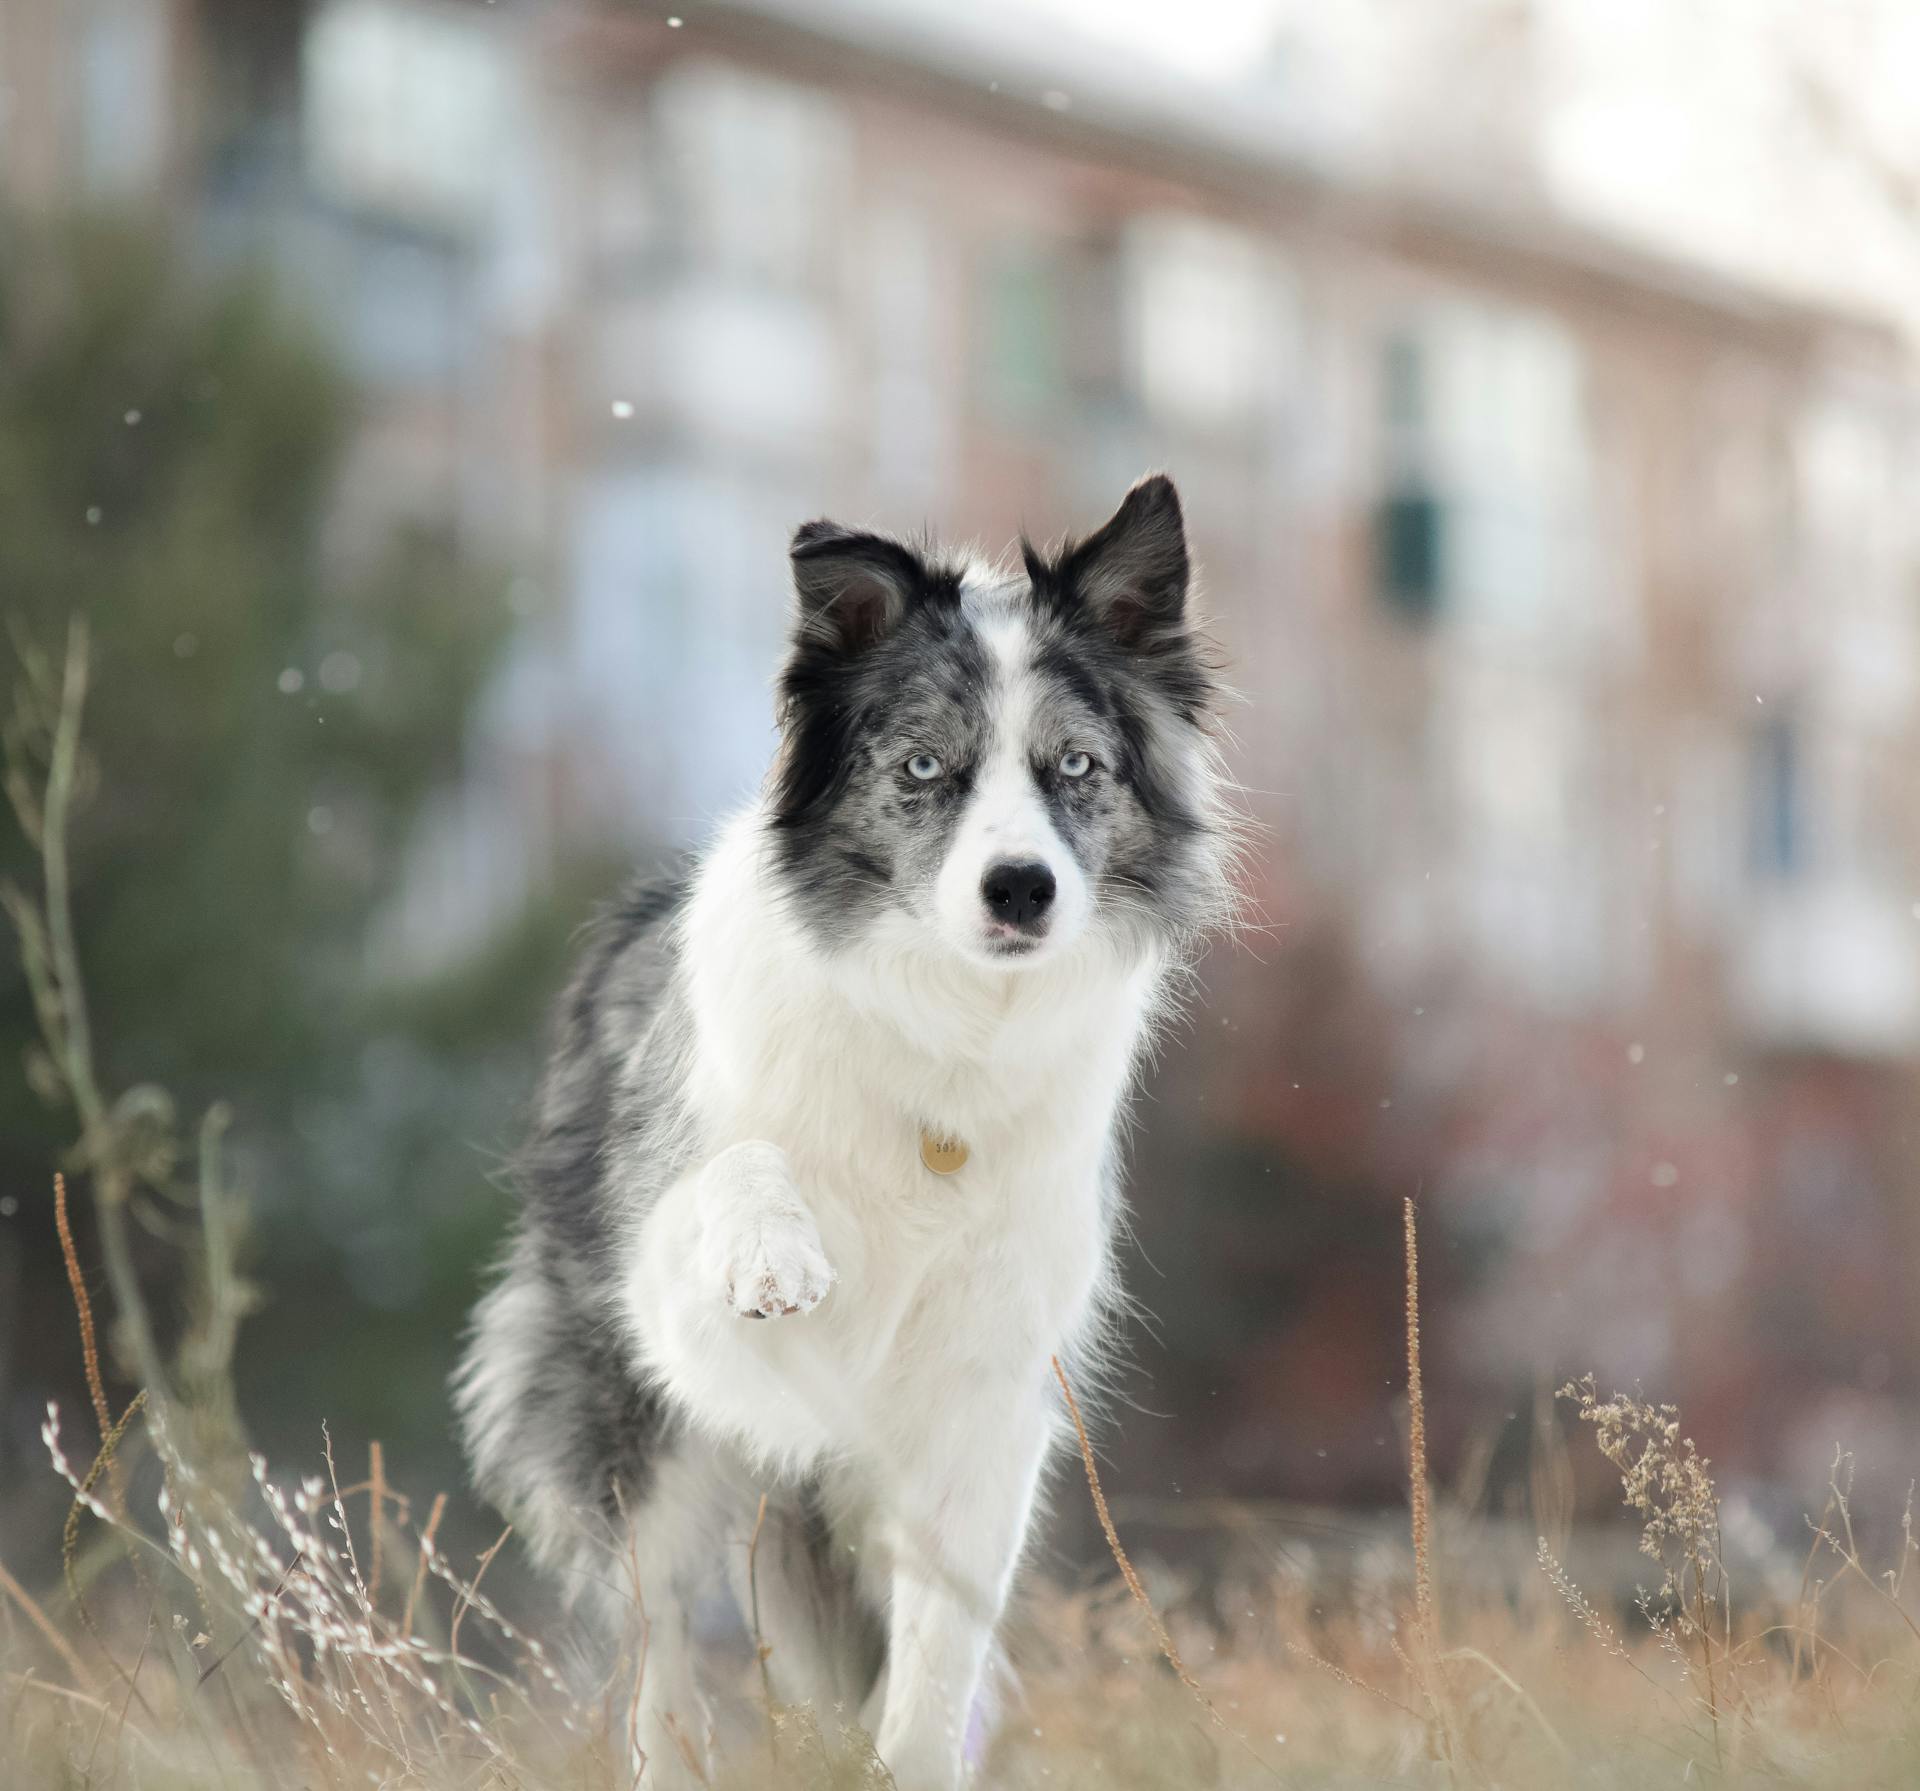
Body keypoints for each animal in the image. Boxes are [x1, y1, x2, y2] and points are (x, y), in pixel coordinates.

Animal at [453, 468, 1228, 1781]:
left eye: (1076, 766)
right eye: (923, 767)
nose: (1021, 889)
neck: (944, 1037)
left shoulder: (983, 1405)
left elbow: (931, 1673)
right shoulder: (681, 1321)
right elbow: (738, 1171)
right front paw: (776, 1251)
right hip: (637, 1451)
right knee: (660, 1665)